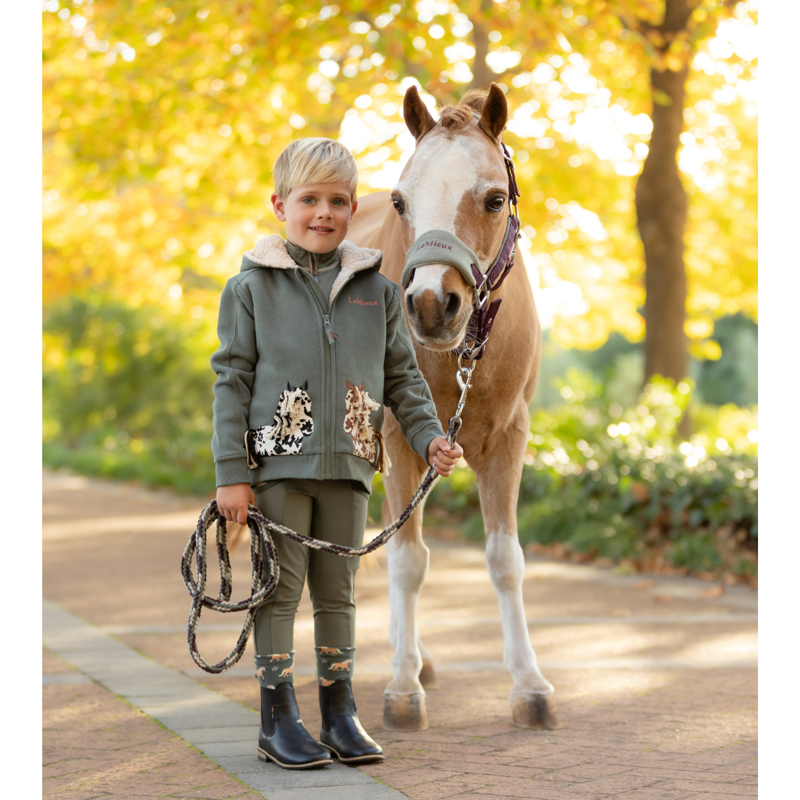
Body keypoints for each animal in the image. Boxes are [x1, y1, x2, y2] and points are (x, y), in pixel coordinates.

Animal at [347, 83, 561, 731]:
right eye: (401, 201)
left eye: (495, 199)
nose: (428, 304)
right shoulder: (396, 437)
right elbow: (407, 561)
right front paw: (401, 689)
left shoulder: (507, 440)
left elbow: (504, 559)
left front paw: (529, 686)